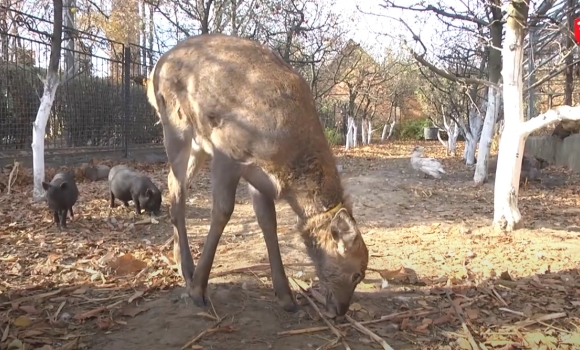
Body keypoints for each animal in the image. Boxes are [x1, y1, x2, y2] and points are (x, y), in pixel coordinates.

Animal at [147, 33, 370, 318]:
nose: (340, 311)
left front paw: (286, 297)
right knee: (177, 189)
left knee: (176, 183)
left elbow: (268, 221)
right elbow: (223, 210)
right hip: (175, 124)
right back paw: (187, 270)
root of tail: (155, 67)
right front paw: (198, 289)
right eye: (356, 274)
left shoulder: (258, 177)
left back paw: (180, 263)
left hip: (199, 144)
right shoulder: (227, 151)